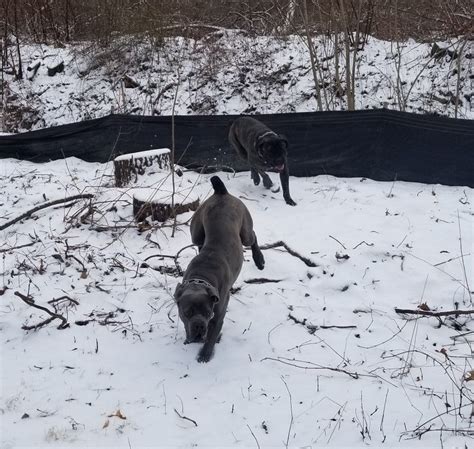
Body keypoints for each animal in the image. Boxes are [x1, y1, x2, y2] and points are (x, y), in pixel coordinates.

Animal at [174, 173, 264, 362]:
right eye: (187, 312)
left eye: (207, 312)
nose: (199, 326)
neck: (202, 276)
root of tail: (221, 192)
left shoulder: (218, 316)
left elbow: (212, 336)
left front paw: (204, 355)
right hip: (196, 233)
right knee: (199, 241)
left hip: (244, 232)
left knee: (252, 236)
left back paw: (259, 260)